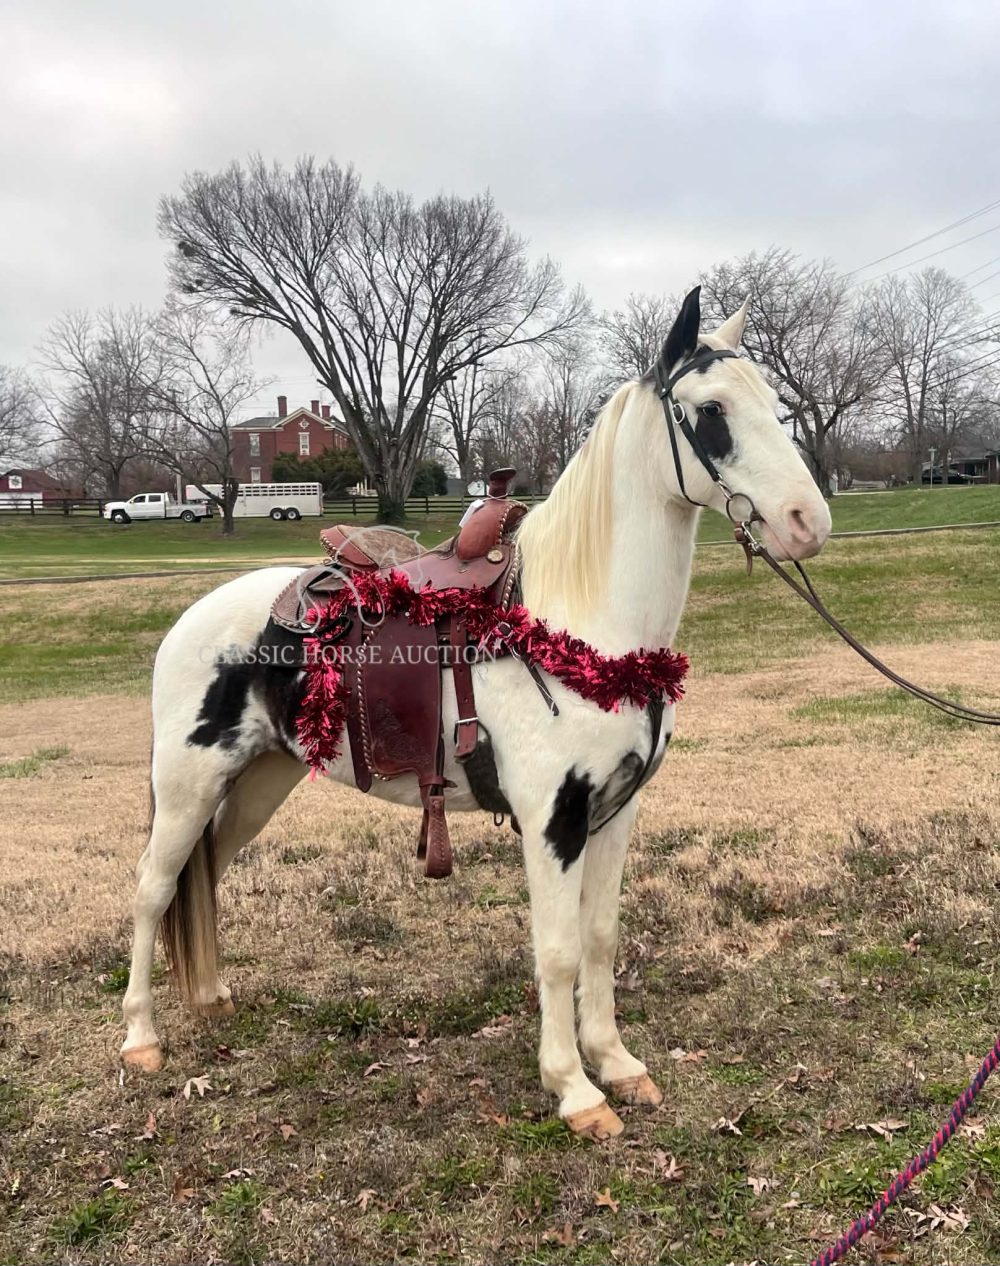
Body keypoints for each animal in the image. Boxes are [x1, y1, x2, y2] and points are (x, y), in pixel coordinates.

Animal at [120, 286, 831, 1140]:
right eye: (712, 409)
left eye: (775, 404)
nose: (807, 523)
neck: (580, 623)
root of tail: (192, 621)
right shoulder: (553, 818)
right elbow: (557, 950)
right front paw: (574, 1088)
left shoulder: (614, 812)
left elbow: (600, 937)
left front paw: (618, 1064)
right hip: (188, 783)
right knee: (153, 889)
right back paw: (141, 1039)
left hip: (257, 782)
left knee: (205, 877)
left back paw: (212, 997)